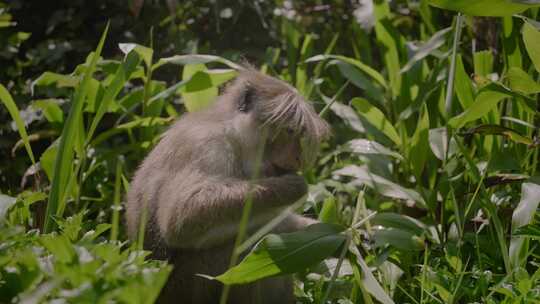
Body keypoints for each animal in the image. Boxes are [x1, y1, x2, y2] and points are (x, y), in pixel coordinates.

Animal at [125, 67, 330, 304]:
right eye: (290, 131)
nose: (298, 158)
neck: (232, 133)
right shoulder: (209, 146)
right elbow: (181, 217)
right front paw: (294, 187)